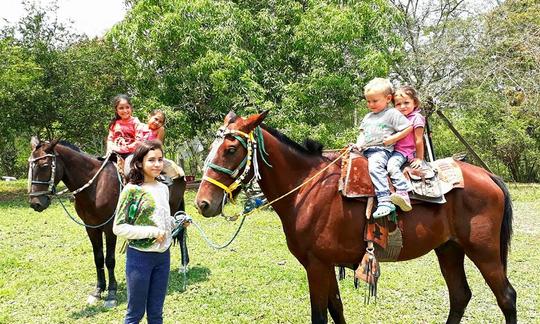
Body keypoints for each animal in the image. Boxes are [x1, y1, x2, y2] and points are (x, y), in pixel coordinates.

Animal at [29, 138, 186, 308]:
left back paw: (183, 266)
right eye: (29, 166)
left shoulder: (110, 228)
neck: (96, 186)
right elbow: (98, 258)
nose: (35, 203)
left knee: (180, 234)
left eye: (45, 165)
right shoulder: (91, 227)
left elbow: (109, 260)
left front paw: (111, 293)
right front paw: (98, 290)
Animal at [196, 112, 516, 324]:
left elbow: (320, 315)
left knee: (506, 297)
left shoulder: (316, 266)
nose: (203, 203)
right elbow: (336, 309)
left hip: (484, 252)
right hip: (449, 249)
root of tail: (488, 175)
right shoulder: (324, 265)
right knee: (460, 296)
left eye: (231, 149)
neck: (308, 188)